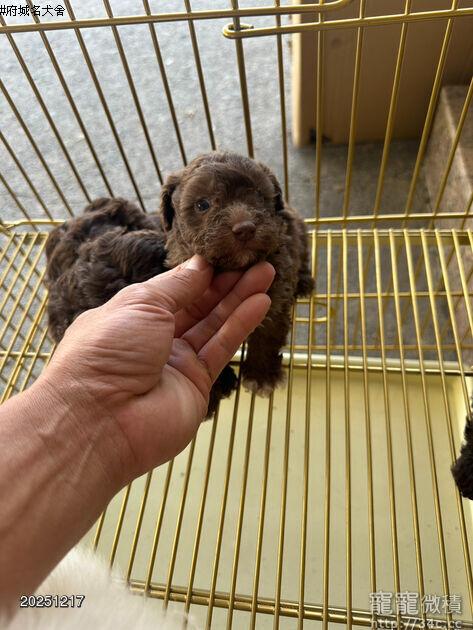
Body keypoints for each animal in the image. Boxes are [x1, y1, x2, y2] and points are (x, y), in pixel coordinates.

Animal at [159, 151, 314, 394]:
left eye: (259, 195)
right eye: (202, 204)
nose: (245, 229)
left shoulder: (275, 301)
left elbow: (266, 338)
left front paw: (261, 375)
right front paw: (217, 383)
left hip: (299, 231)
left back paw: (305, 282)